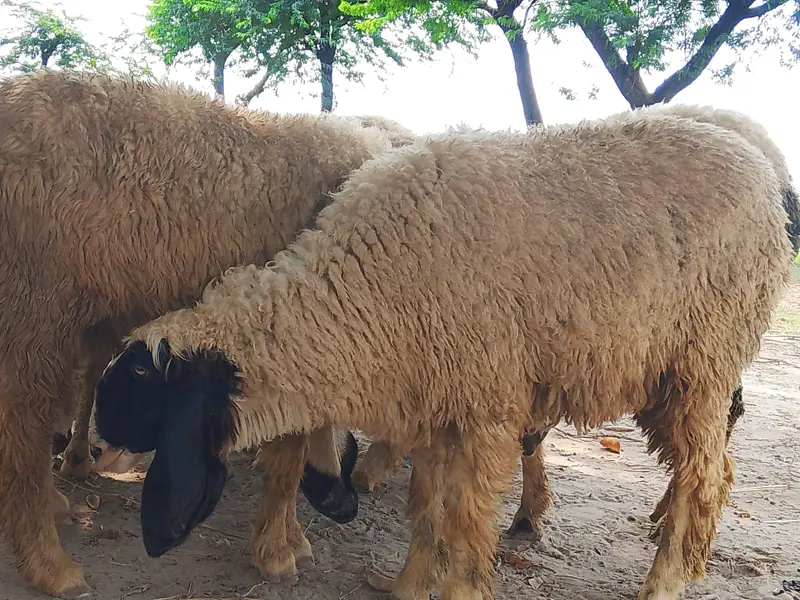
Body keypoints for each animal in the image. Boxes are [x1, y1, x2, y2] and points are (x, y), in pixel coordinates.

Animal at [0, 67, 399, 598]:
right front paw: (276, 551)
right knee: (23, 435)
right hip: (34, 315)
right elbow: (289, 457)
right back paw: (49, 563)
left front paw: (291, 538)